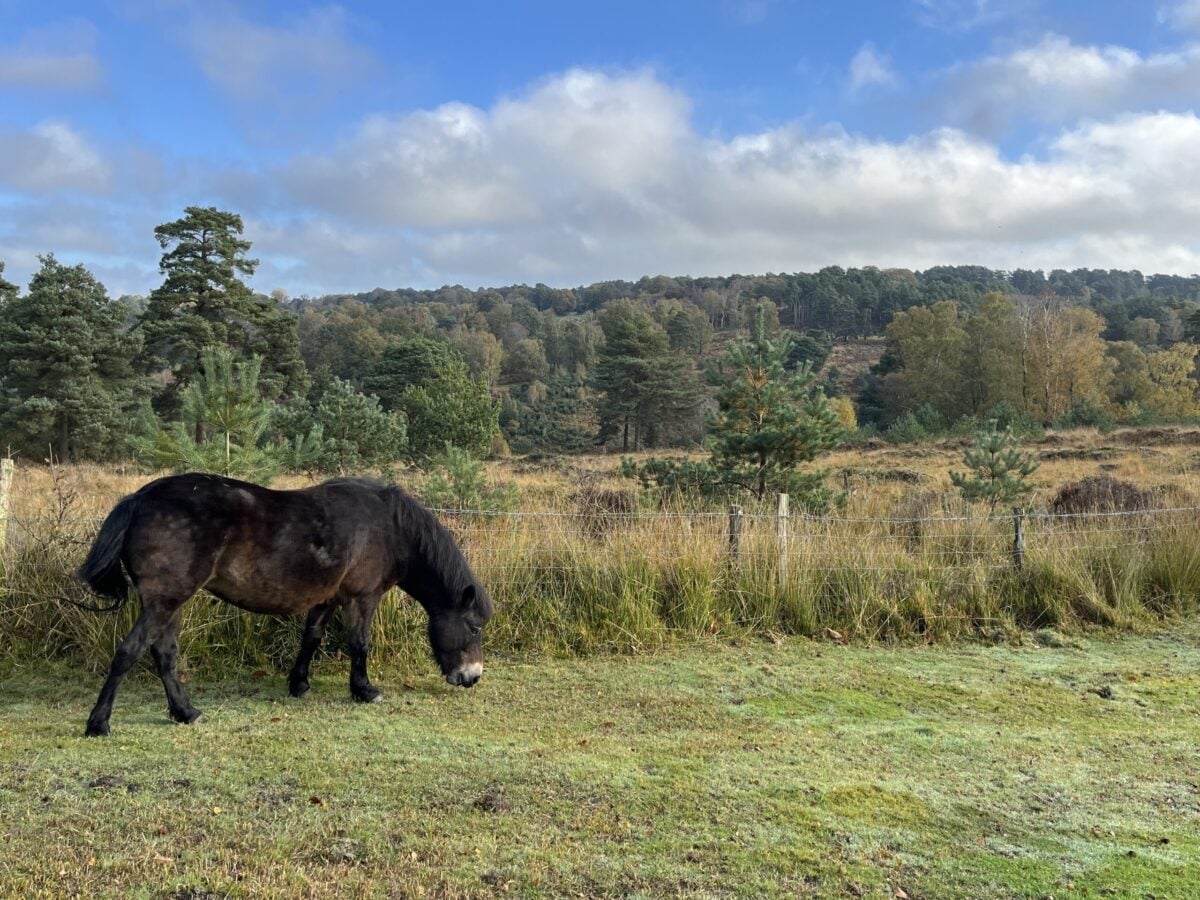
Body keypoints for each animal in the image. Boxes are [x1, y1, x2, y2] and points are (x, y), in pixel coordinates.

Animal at [76, 472, 493, 737]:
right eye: (473, 626)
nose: (472, 677)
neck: (390, 526)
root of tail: (139, 499)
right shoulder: (362, 598)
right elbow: (359, 644)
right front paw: (364, 690)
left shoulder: (326, 599)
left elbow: (311, 638)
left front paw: (299, 683)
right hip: (163, 602)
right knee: (130, 651)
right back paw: (99, 723)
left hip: (169, 604)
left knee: (164, 655)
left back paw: (185, 712)